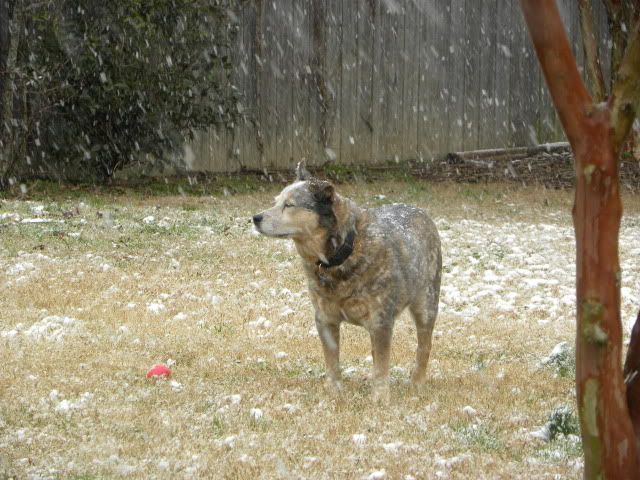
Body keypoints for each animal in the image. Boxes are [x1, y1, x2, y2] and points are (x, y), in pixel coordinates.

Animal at [252, 163, 442, 400]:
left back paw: (417, 382)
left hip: (427, 302)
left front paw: (380, 397)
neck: (342, 255)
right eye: (276, 201)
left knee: (424, 345)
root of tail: (421, 211)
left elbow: (382, 363)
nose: (255, 218)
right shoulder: (324, 317)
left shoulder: (381, 319)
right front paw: (334, 391)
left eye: (289, 204)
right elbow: (332, 359)